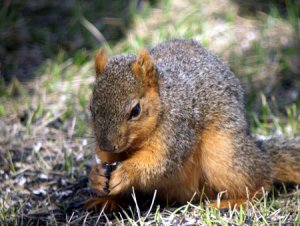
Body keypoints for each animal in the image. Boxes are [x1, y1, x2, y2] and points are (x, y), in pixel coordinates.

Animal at [86, 39, 300, 212]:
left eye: (135, 110)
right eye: (90, 107)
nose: (107, 145)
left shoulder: (177, 131)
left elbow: (161, 162)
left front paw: (125, 172)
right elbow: (107, 160)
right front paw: (96, 177)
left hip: (224, 154)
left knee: (261, 179)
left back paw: (236, 201)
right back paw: (106, 201)